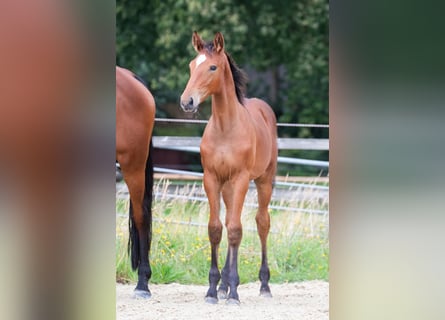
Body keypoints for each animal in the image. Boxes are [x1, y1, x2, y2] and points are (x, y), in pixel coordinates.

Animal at [179, 32, 276, 304]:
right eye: (192, 65)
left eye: (212, 67)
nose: (187, 102)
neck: (225, 129)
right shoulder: (212, 179)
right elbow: (216, 229)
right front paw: (213, 289)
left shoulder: (241, 179)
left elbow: (235, 230)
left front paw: (234, 291)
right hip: (227, 187)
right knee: (229, 221)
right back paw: (223, 286)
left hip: (264, 180)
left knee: (261, 223)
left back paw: (263, 285)